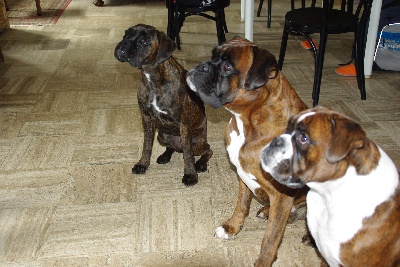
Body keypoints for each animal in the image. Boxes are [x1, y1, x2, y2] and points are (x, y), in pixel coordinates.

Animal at [114, 24, 212, 185]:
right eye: (125, 34)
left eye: (143, 41)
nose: (125, 43)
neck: (152, 77)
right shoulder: (147, 120)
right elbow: (146, 146)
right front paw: (143, 164)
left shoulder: (184, 125)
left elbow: (188, 155)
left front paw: (191, 174)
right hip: (163, 135)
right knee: (172, 148)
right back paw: (165, 156)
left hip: (197, 142)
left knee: (207, 151)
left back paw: (201, 164)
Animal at [188, 38, 310, 267]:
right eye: (213, 56)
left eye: (227, 67)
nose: (201, 66)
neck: (248, 122)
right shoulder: (242, 175)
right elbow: (241, 205)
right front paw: (231, 227)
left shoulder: (282, 196)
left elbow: (271, 238)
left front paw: (263, 261)